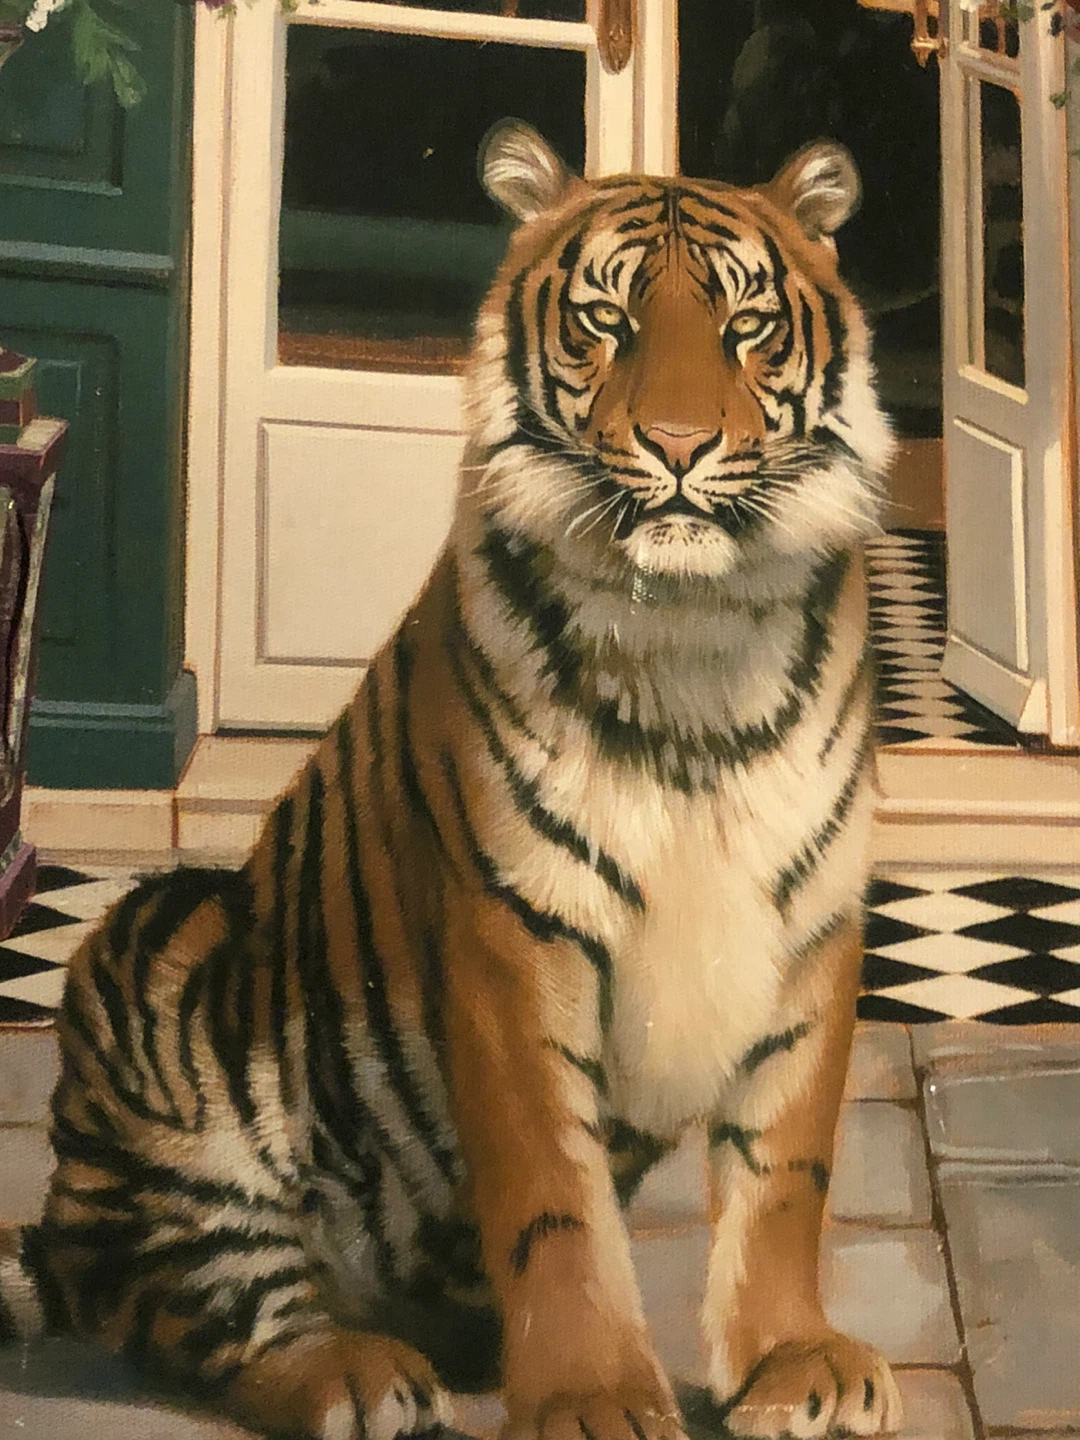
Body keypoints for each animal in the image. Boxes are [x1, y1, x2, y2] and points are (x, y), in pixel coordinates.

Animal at [0, 121, 901, 1440]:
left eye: (747, 327)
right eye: (607, 320)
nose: (682, 447)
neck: (691, 633)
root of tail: (66, 1236)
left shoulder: (809, 924)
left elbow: (787, 1170)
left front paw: (794, 1365)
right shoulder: (514, 931)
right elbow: (553, 1194)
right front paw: (593, 1398)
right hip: (157, 942)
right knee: (207, 1314)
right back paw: (360, 1377)